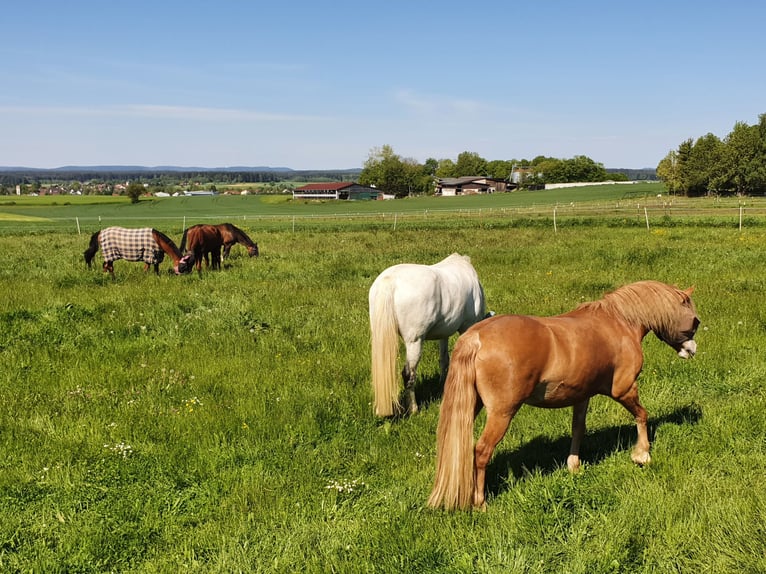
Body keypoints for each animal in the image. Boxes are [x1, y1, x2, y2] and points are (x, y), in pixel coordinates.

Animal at [370, 254, 488, 416]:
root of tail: (390, 281)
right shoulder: (466, 328)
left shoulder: (444, 333)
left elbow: (444, 360)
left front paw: (443, 387)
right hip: (415, 341)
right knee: (408, 374)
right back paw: (413, 409)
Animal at [428, 282, 704, 510]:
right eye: (695, 321)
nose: (692, 351)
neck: (619, 323)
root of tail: (475, 338)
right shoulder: (624, 389)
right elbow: (642, 415)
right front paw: (642, 455)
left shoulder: (582, 396)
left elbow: (578, 429)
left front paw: (574, 466)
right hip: (501, 413)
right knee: (482, 451)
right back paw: (480, 503)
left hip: (472, 406)